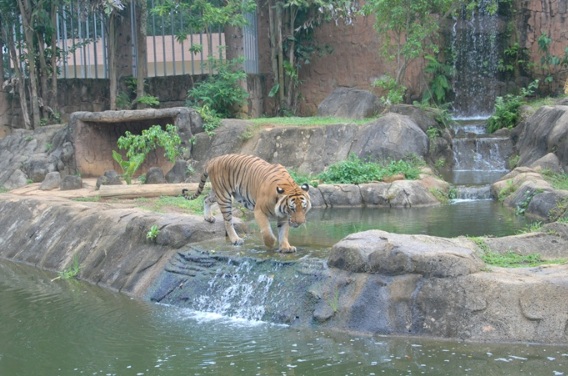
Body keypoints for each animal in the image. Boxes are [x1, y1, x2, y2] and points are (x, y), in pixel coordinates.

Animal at [182, 153, 312, 253]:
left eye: (304, 208)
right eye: (292, 209)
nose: (300, 223)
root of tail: (214, 159)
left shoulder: (284, 216)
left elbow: (283, 232)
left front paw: (286, 247)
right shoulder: (259, 211)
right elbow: (266, 231)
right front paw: (271, 243)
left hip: (217, 194)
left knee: (205, 198)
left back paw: (208, 217)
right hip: (224, 197)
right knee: (228, 222)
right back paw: (236, 240)